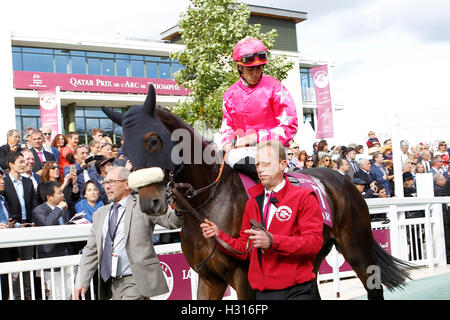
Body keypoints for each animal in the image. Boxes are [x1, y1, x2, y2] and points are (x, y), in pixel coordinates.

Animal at [103, 84, 414, 300]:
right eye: (124, 148)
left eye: (152, 140)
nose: (149, 202)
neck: (206, 202)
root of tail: (342, 179)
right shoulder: (208, 278)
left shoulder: (244, 277)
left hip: (356, 248)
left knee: (372, 285)